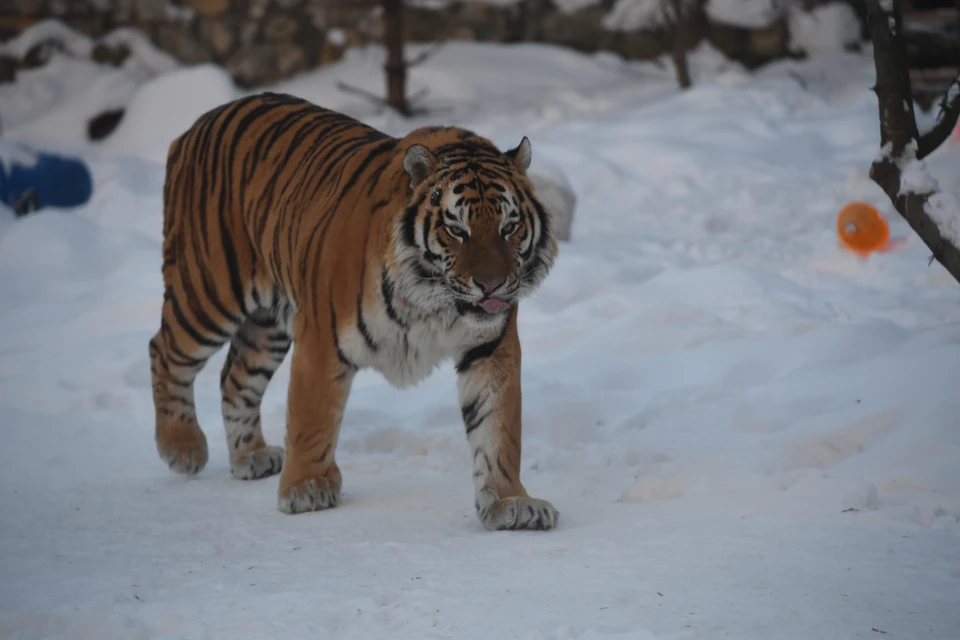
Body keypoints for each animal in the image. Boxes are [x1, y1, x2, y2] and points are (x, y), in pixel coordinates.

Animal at [146, 90, 560, 528]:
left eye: (509, 228)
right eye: (456, 230)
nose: (491, 285)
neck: (435, 303)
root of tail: (196, 126)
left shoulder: (490, 347)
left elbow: (498, 429)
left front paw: (510, 501)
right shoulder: (320, 338)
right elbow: (312, 417)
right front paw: (306, 489)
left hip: (267, 324)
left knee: (234, 377)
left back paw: (251, 456)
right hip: (208, 292)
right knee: (164, 350)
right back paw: (182, 447)